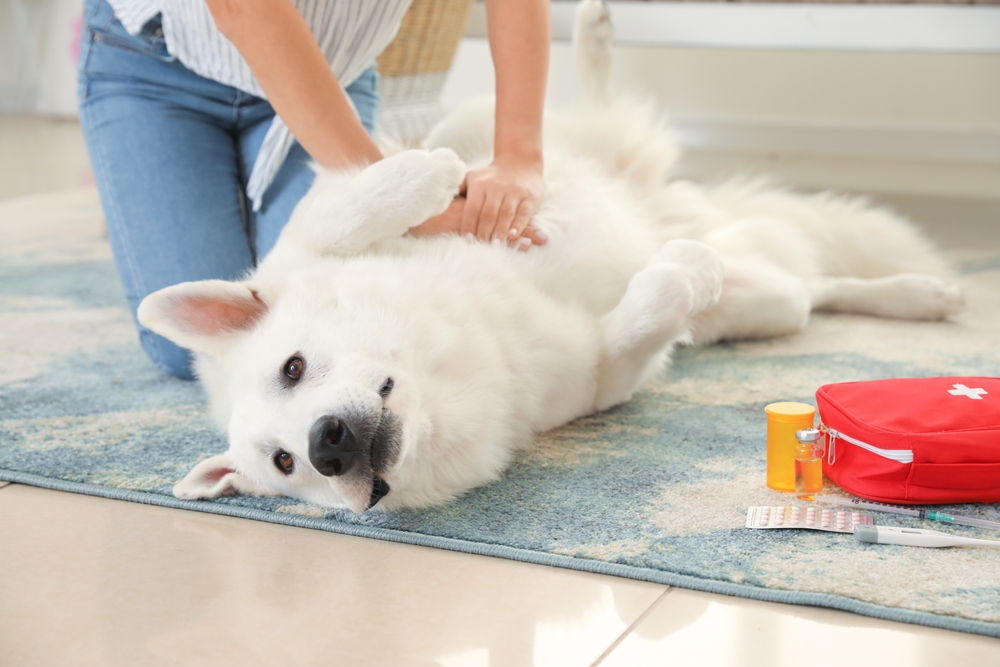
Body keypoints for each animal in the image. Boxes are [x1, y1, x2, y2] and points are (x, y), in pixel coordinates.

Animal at [139, 0, 960, 516]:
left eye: (293, 367)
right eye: (285, 466)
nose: (327, 444)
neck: (459, 352)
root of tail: (657, 199)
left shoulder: (310, 237)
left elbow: (340, 209)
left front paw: (426, 176)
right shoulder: (601, 376)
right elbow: (648, 315)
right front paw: (682, 271)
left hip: (502, 124)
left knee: (557, 114)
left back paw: (588, 35)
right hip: (767, 303)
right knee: (811, 289)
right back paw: (916, 293)